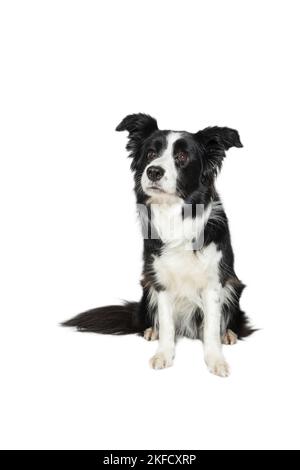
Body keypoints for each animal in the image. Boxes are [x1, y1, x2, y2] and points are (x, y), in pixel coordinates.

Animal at [63, 113, 253, 374]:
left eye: (182, 157)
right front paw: (164, 354)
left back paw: (229, 334)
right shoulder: (160, 281)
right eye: (151, 153)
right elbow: (166, 323)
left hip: (233, 286)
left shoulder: (214, 282)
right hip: (147, 286)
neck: (174, 213)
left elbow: (211, 327)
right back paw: (151, 330)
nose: (153, 171)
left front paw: (216, 360)